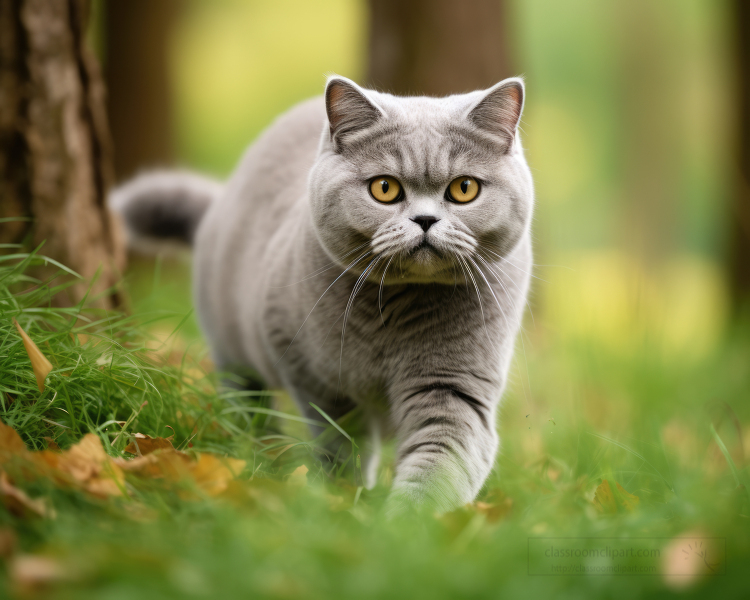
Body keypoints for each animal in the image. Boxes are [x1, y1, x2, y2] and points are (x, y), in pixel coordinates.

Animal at [111, 77, 536, 512]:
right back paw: (262, 460)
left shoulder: (455, 387)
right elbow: (342, 442)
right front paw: (345, 498)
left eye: (464, 188)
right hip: (235, 354)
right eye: (385, 188)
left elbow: (439, 466)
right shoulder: (313, 376)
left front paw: (405, 521)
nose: (425, 219)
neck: (395, 315)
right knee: (250, 409)